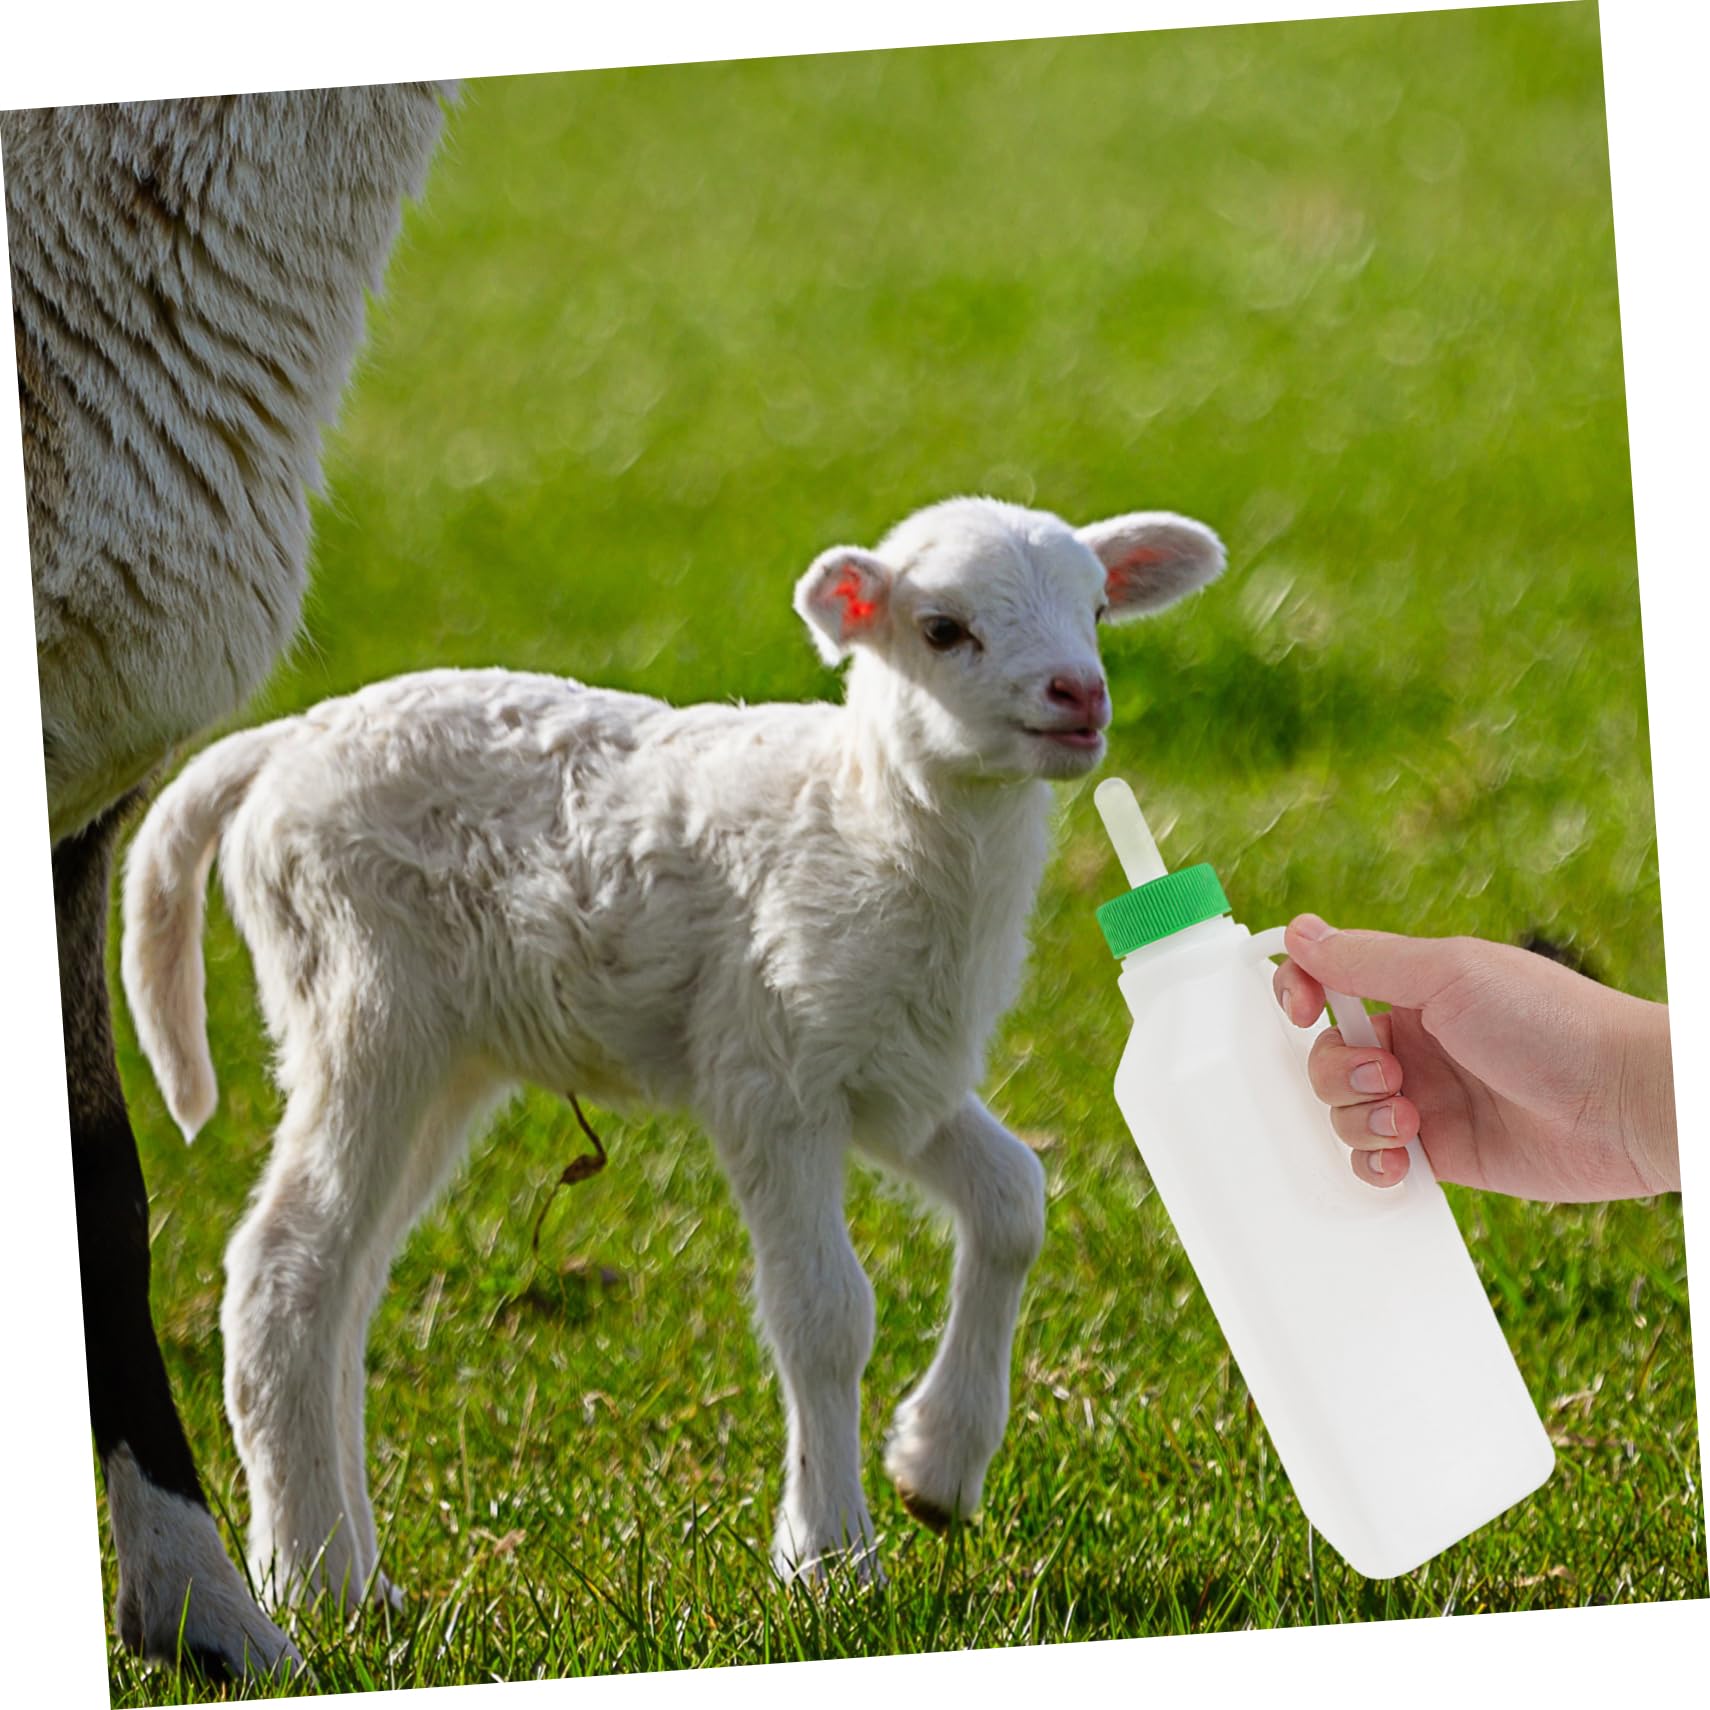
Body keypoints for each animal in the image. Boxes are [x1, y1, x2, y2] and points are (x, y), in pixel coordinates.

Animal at [120, 495, 1224, 1603]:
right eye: (943, 629)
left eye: (1096, 607)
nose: (1079, 694)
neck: (868, 821)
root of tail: (276, 748)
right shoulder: (769, 1070)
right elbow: (823, 1314)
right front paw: (829, 1560)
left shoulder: (891, 1067)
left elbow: (1012, 1201)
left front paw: (936, 1472)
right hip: (361, 999)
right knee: (284, 1262)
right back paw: (316, 1583)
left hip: (445, 1053)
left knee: (347, 1285)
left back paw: (356, 1574)